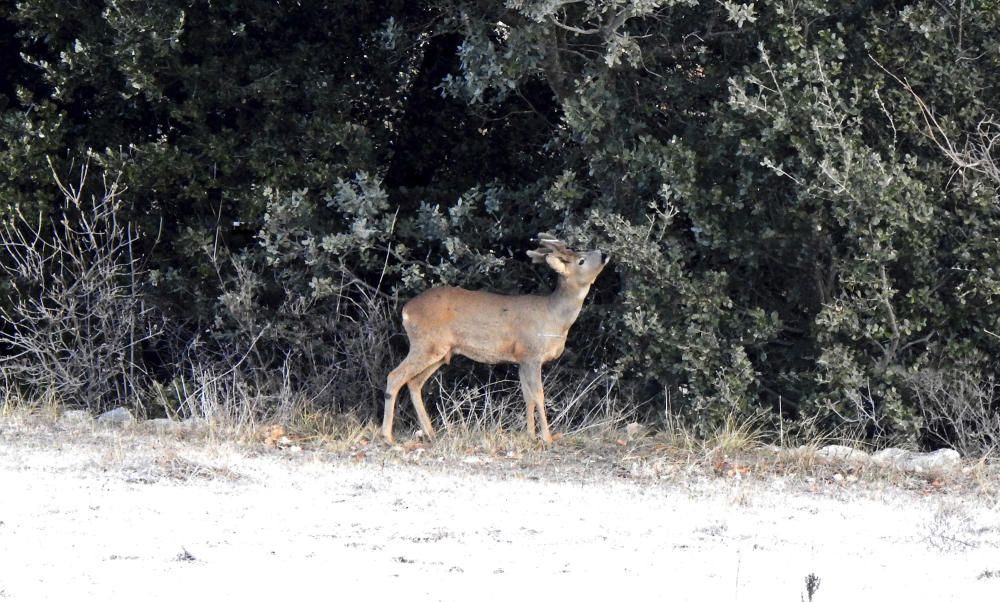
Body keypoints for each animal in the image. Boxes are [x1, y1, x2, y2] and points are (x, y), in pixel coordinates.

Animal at [382, 232, 608, 442]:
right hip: (426, 344)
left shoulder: (521, 360)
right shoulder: (531, 354)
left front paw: (530, 435)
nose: (604, 254)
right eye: (581, 260)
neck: (554, 319)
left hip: (440, 351)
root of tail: (406, 310)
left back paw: (430, 433)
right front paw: (547, 437)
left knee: (414, 382)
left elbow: (527, 396)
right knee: (394, 376)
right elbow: (539, 395)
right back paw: (387, 436)